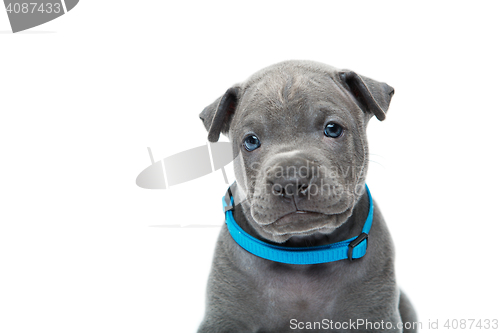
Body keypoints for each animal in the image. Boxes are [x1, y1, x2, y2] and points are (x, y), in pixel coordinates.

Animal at [197, 60, 416, 332]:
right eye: (251, 141)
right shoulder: (224, 319)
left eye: (332, 129)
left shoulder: (375, 316)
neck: (303, 252)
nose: (290, 181)